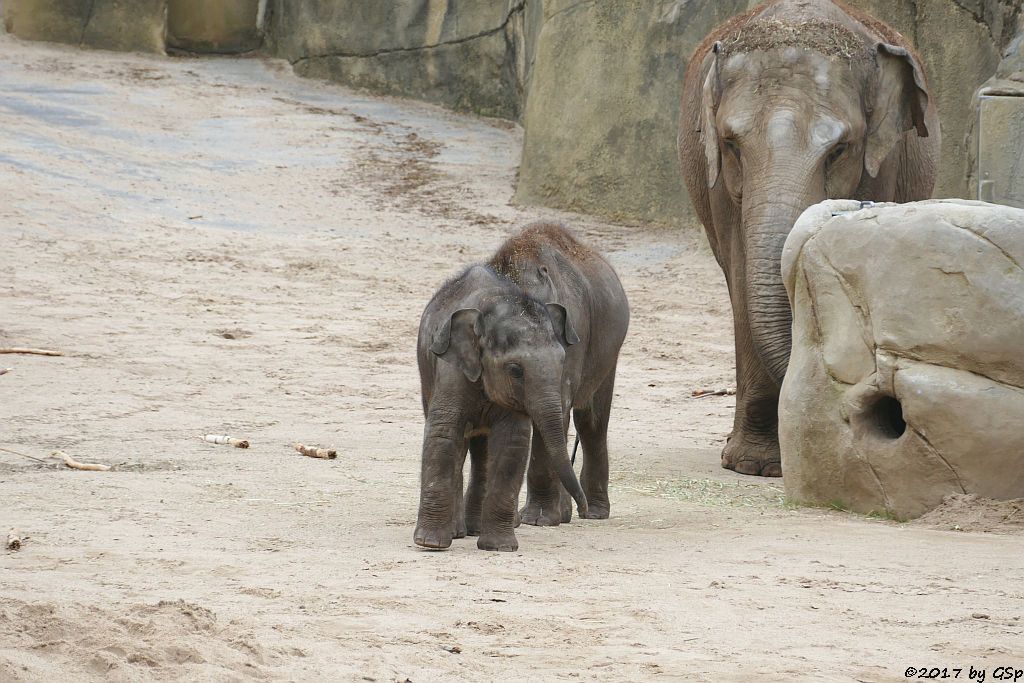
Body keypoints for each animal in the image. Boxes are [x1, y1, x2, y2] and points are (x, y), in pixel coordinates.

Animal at [413, 222, 622, 552]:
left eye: (561, 358)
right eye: (514, 370)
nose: (582, 506)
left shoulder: (575, 338)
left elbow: (519, 438)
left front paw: (518, 533)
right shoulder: (452, 366)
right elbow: (445, 432)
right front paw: (431, 543)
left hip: (608, 354)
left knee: (591, 423)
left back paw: (593, 513)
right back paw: (464, 530)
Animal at [675, 0, 937, 479]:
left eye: (839, 150)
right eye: (731, 144)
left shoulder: (883, 161)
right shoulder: (718, 180)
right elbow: (741, 274)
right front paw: (755, 465)